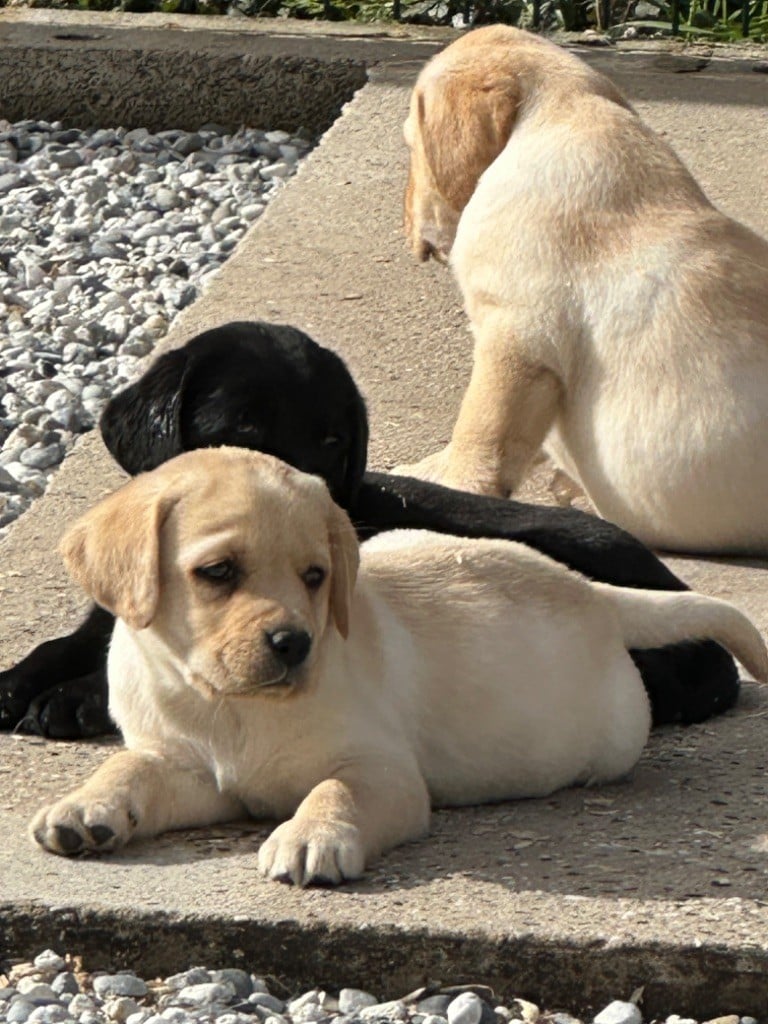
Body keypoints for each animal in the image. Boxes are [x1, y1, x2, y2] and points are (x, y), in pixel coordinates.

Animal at [31, 452, 768, 884]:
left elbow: (338, 789)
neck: (228, 706)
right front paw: (87, 805)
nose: (294, 643)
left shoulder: (383, 770)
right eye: (217, 572)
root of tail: (592, 592)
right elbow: (132, 766)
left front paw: (312, 838)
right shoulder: (193, 769)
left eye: (316, 576)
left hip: (609, 739)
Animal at [399, 25, 768, 552]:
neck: (561, 112)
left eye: (412, 147)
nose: (405, 221)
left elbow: (481, 429)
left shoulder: (516, 338)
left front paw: (450, 481)